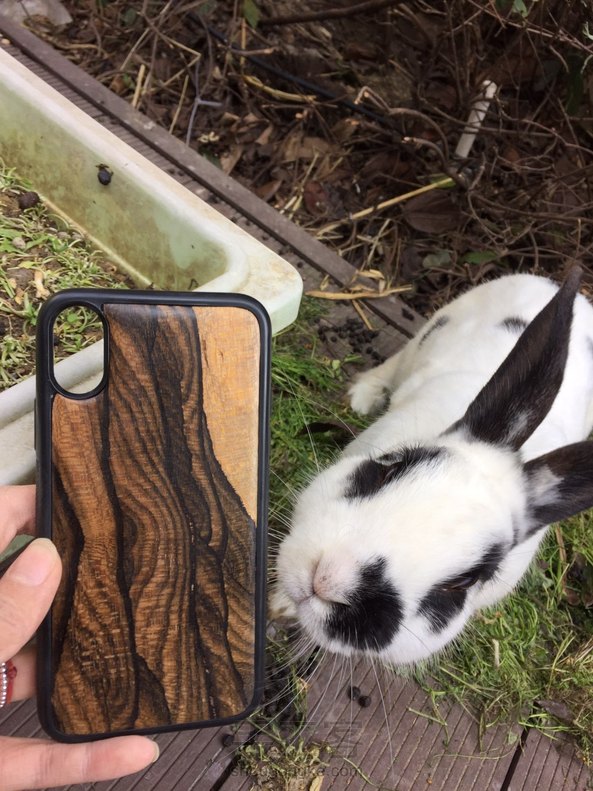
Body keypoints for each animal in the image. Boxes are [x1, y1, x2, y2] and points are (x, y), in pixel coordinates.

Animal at [272, 268, 593, 665]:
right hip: (427, 334)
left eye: (464, 582)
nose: (329, 580)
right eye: (389, 469)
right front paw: (281, 605)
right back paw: (364, 395)